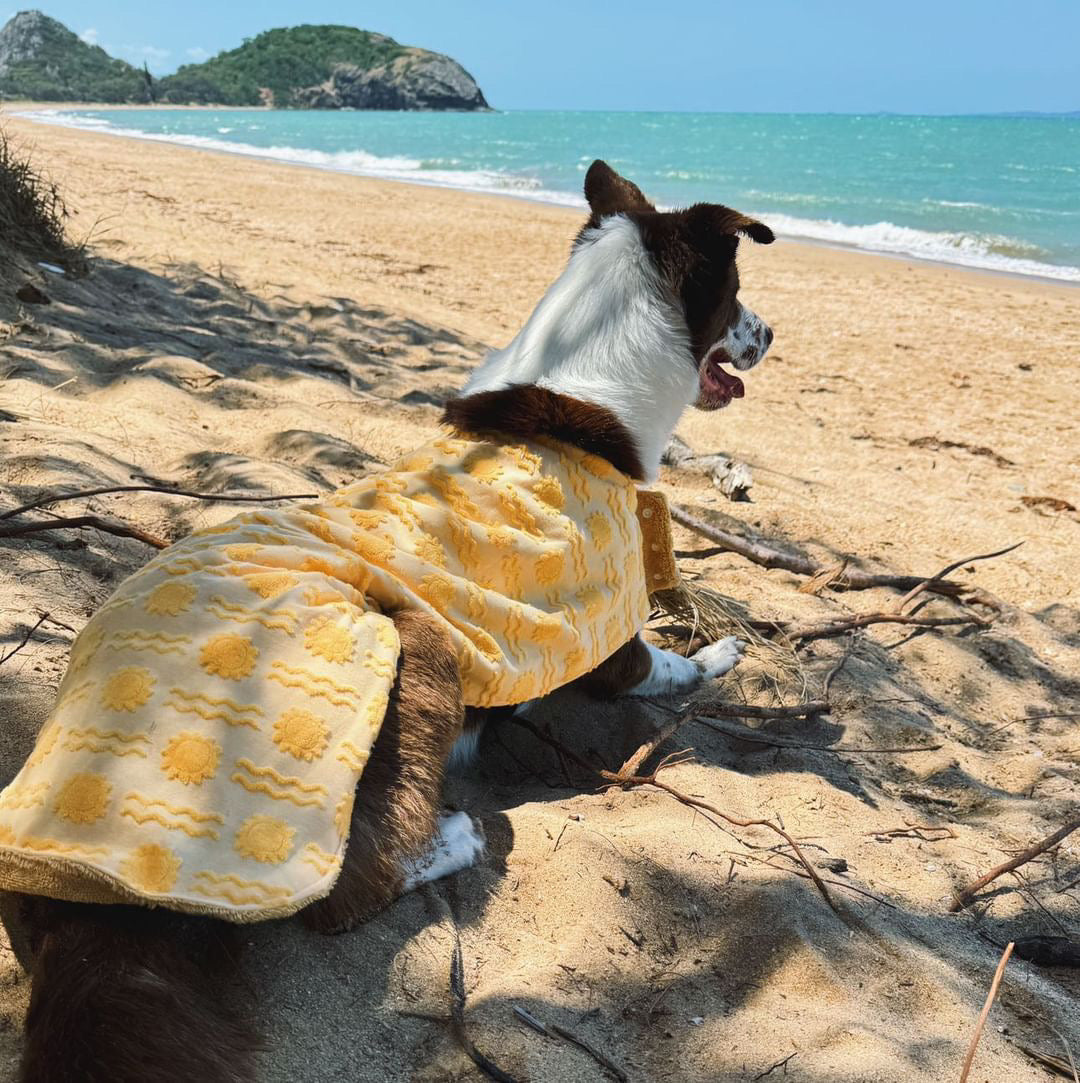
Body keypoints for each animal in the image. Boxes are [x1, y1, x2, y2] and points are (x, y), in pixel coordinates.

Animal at [4, 162, 771, 1083]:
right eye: (739, 294)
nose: (772, 335)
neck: (580, 379)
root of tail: (103, 895)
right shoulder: (611, 637)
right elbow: (668, 666)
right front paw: (725, 651)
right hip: (411, 649)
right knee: (341, 894)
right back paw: (455, 838)